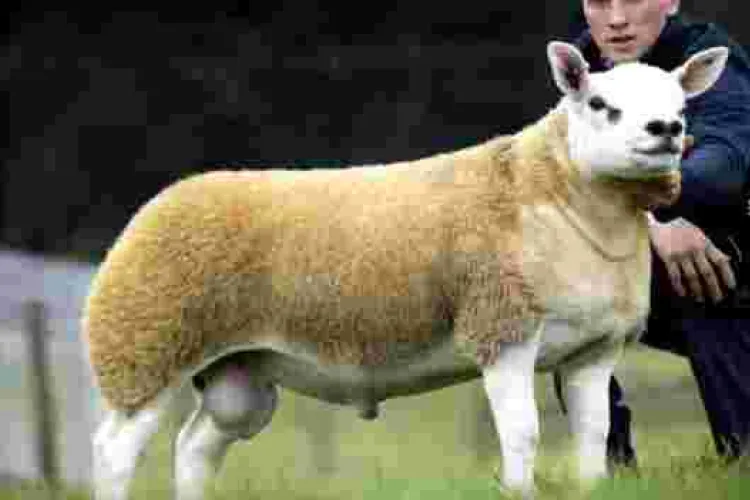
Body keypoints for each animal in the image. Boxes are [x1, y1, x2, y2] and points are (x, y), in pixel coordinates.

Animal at [82, 40, 728, 500]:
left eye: (681, 106)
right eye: (600, 105)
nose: (667, 130)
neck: (563, 200)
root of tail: (155, 207)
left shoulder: (594, 351)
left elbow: (594, 438)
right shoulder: (501, 329)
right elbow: (523, 434)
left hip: (237, 374)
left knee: (194, 449)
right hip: (144, 347)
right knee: (113, 453)